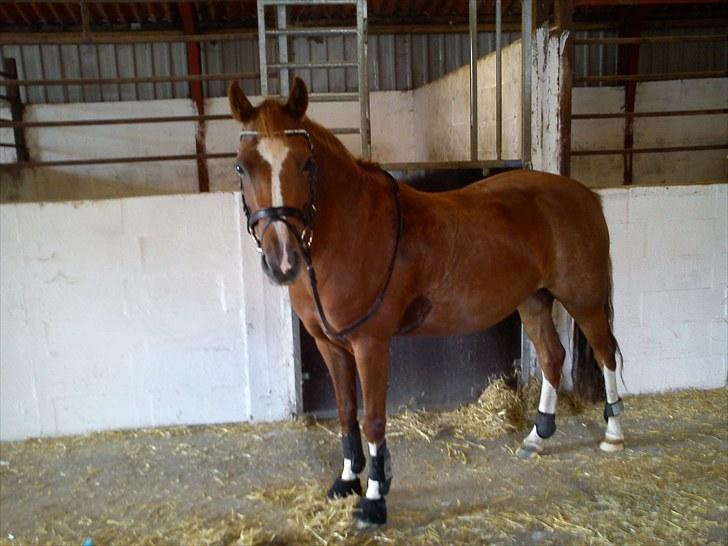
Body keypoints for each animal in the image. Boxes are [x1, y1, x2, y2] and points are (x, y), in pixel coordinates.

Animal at [227, 77, 625, 527]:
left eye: (306, 164)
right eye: (241, 166)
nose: (283, 261)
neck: (352, 230)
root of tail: (584, 195)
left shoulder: (371, 345)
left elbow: (373, 420)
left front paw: (374, 500)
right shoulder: (330, 345)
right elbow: (346, 412)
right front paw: (346, 481)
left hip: (584, 301)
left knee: (605, 353)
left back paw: (613, 434)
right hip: (533, 301)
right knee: (553, 356)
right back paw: (537, 437)